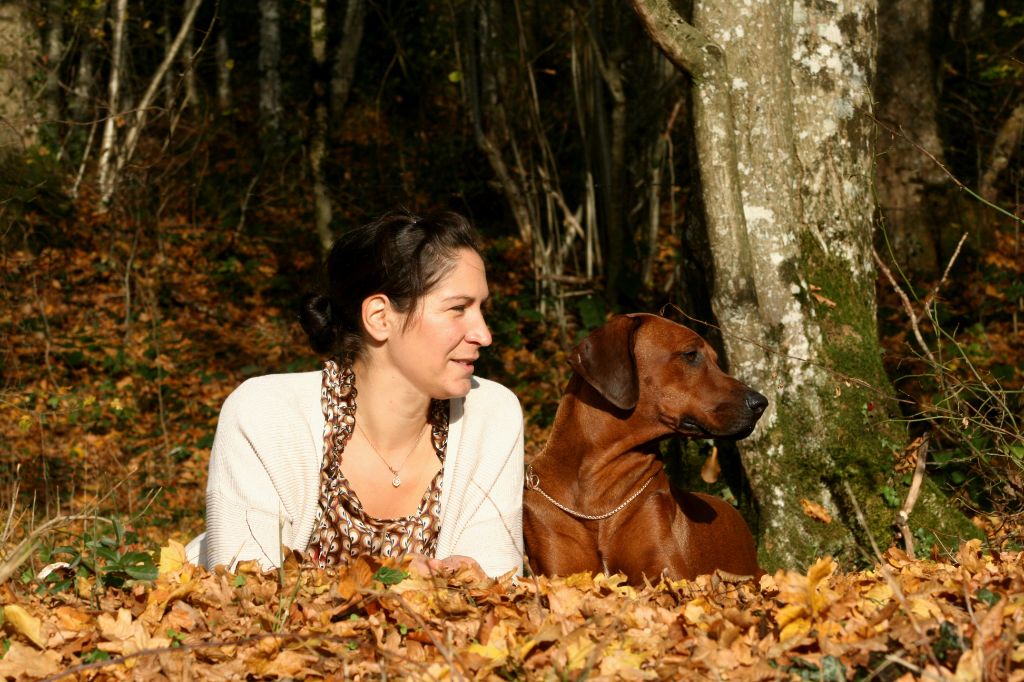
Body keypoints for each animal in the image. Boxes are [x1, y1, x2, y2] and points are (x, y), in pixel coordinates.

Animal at [528, 311, 770, 581]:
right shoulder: (558, 573)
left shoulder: (667, 571)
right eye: (690, 355)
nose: (761, 403)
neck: (596, 498)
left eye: (716, 361)